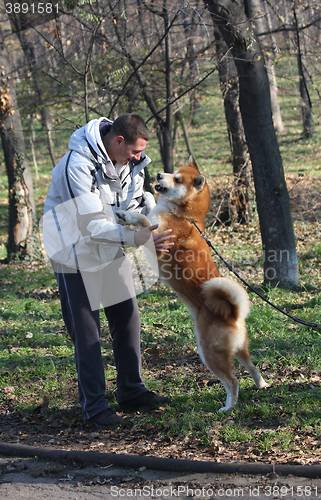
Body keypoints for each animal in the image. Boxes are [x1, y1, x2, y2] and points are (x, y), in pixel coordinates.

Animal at [115, 156, 268, 410]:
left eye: (177, 179)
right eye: (172, 172)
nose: (158, 175)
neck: (185, 216)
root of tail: (232, 314)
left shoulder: (157, 240)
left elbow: (143, 219)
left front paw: (127, 216)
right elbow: (149, 206)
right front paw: (146, 196)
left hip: (208, 354)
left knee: (232, 381)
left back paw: (228, 407)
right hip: (239, 350)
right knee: (252, 367)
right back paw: (261, 385)